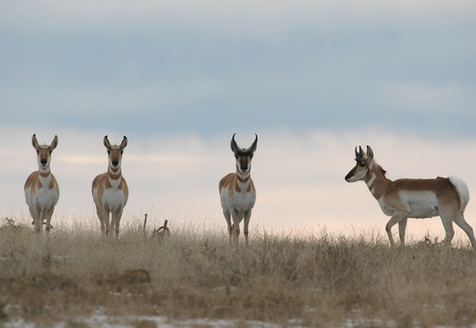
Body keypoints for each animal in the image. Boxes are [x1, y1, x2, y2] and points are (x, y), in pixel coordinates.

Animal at [346, 146, 476, 249]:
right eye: (356, 162)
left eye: (362, 164)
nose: (346, 177)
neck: (387, 188)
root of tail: (453, 183)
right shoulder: (404, 217)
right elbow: (401, 234)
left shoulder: (400, 212)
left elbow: (387, 227)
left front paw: (393, 247)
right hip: (457, 215)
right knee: (469, 229)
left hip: (445, 215)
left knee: (450, 233)